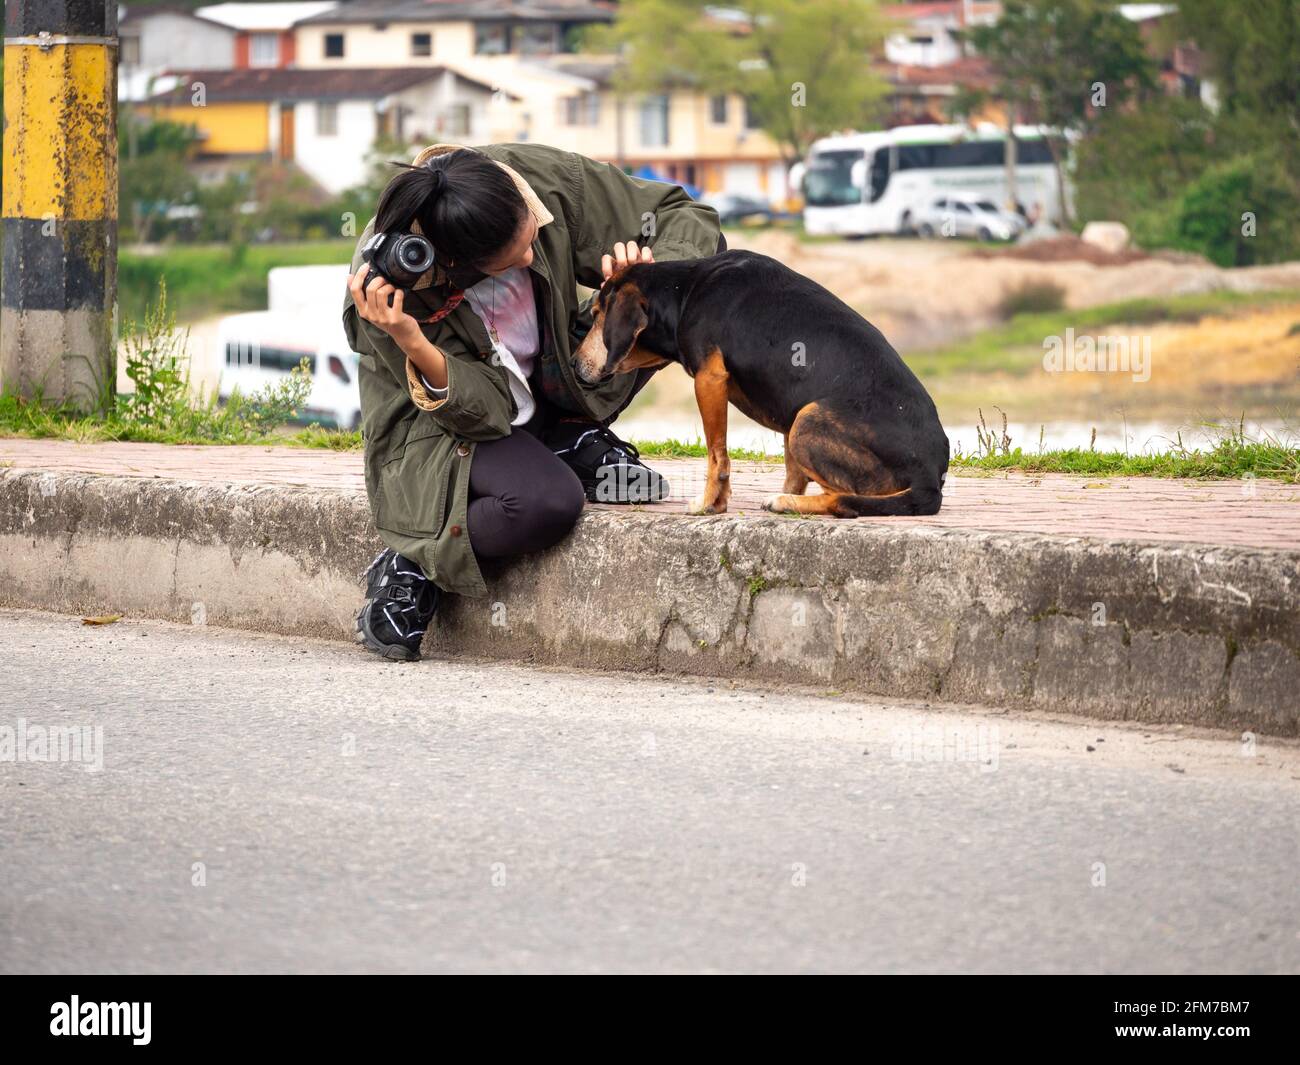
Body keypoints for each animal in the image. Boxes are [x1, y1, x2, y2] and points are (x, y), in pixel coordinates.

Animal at [574, 249, 951, 517]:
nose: (574, 364)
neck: (685, 291)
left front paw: (709, 504)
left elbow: (717, 457)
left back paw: (788, 503)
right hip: (796, 417)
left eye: (595, 316)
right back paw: (786, 499)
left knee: (842, 500)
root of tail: (930, 479)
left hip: (807, 420)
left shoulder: (709, 380)